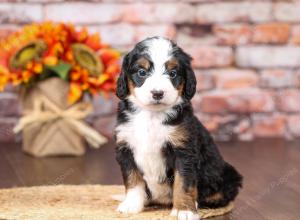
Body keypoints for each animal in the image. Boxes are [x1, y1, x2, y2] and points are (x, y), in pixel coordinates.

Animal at [113, 37, 243, 219]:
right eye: (142, 72)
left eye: (173, 73)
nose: (157, 93)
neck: (152, 116)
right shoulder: (125, 148)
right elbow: (132, 180)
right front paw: (131, 205)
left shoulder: (183, 151)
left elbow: (183, 183)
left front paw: (184, 210)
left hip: (228, 174)